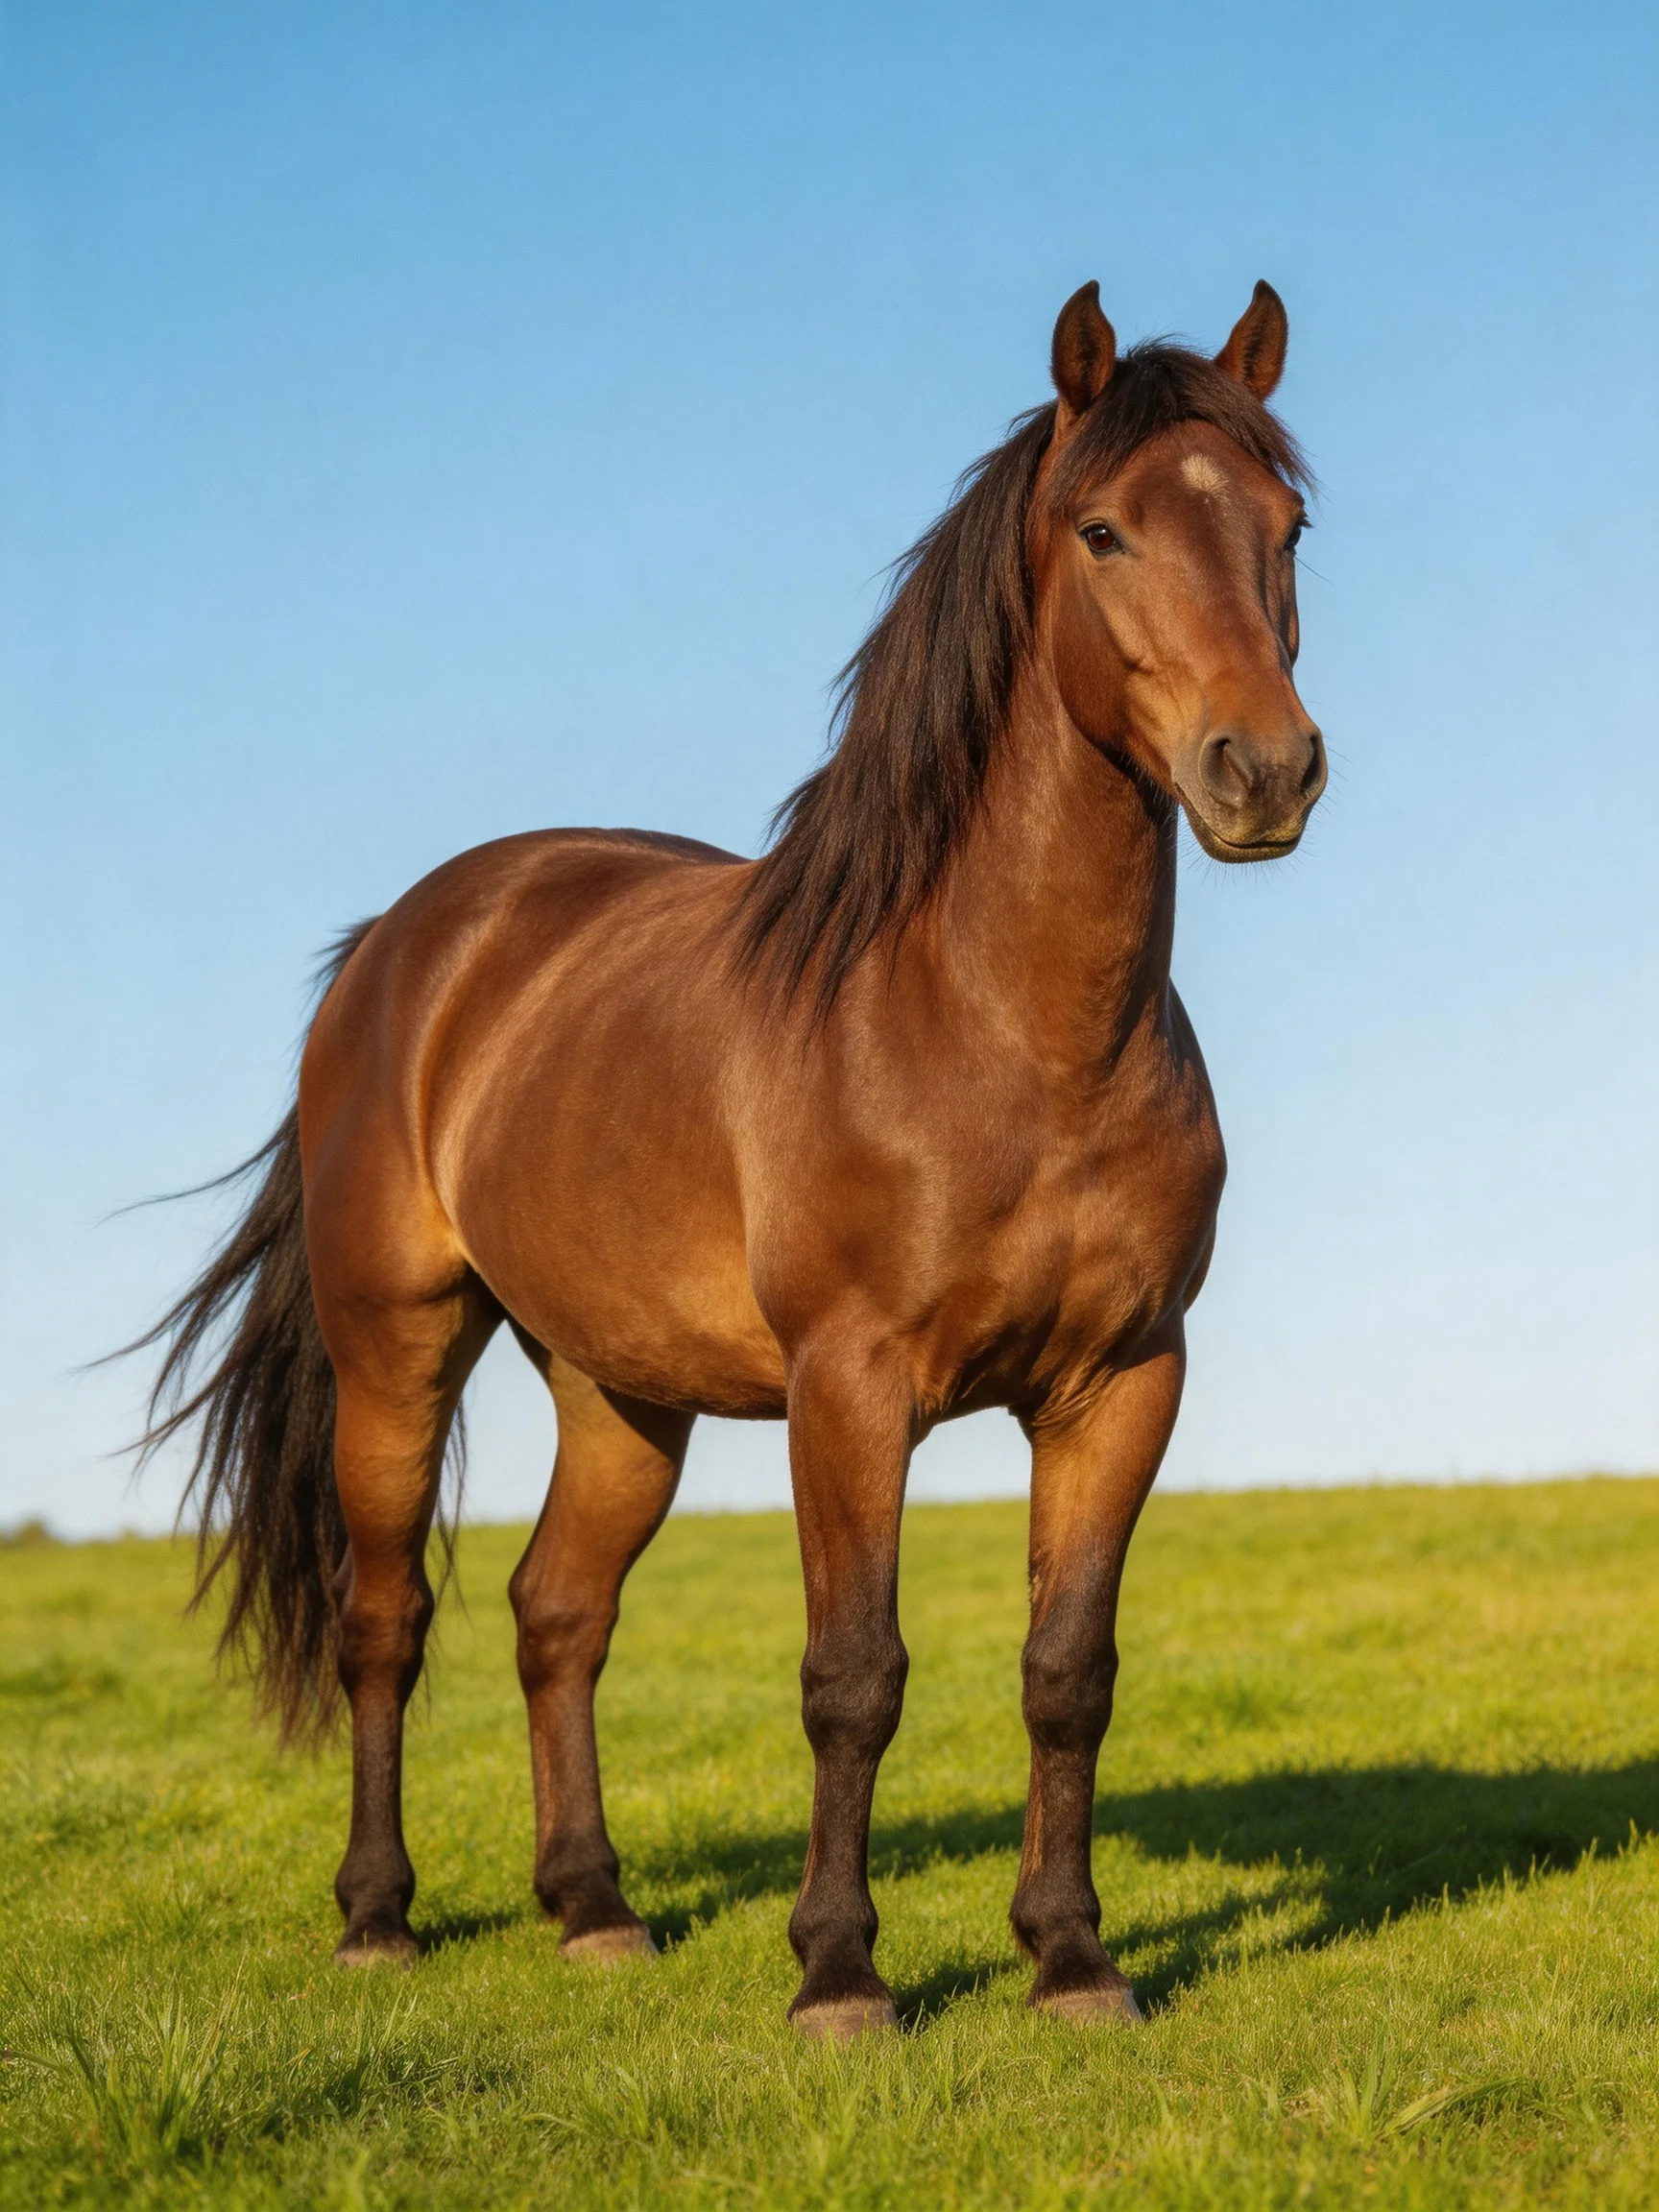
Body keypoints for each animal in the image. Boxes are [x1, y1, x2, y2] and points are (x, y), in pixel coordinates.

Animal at [136, 278, 1324, 2039]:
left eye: (1286, 527)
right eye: (1102, 528)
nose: (1268, 770)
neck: (999, 1024)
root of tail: (404, 949)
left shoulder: (1121, 1381)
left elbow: (1066, 1674)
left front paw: (1071, 1960)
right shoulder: (849, 1386)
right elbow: (853, 1676)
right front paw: (838, 1976)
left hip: (618, 1389)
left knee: (557, 1614)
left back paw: (595, 1910)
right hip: (396, 1349)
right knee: (385, 1620)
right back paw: (378, 1918)